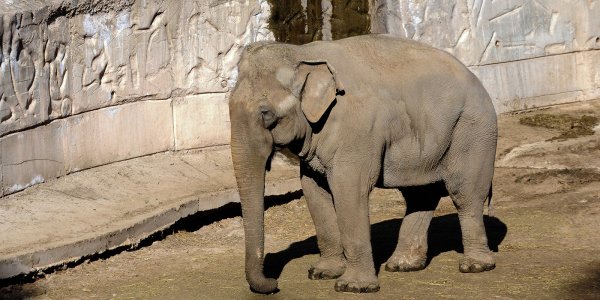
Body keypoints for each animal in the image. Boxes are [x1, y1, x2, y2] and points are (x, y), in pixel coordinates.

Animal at [227, 34, 494, 292]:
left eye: (266, 114)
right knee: (420, 195)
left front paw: (352, 286)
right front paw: (321, 273)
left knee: (465, 194)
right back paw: (402, 265)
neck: (302, 52)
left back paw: (475, 266)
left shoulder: (358, 129)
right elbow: (314, 191)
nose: (274, 283)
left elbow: (348, 189)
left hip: (471, 131)